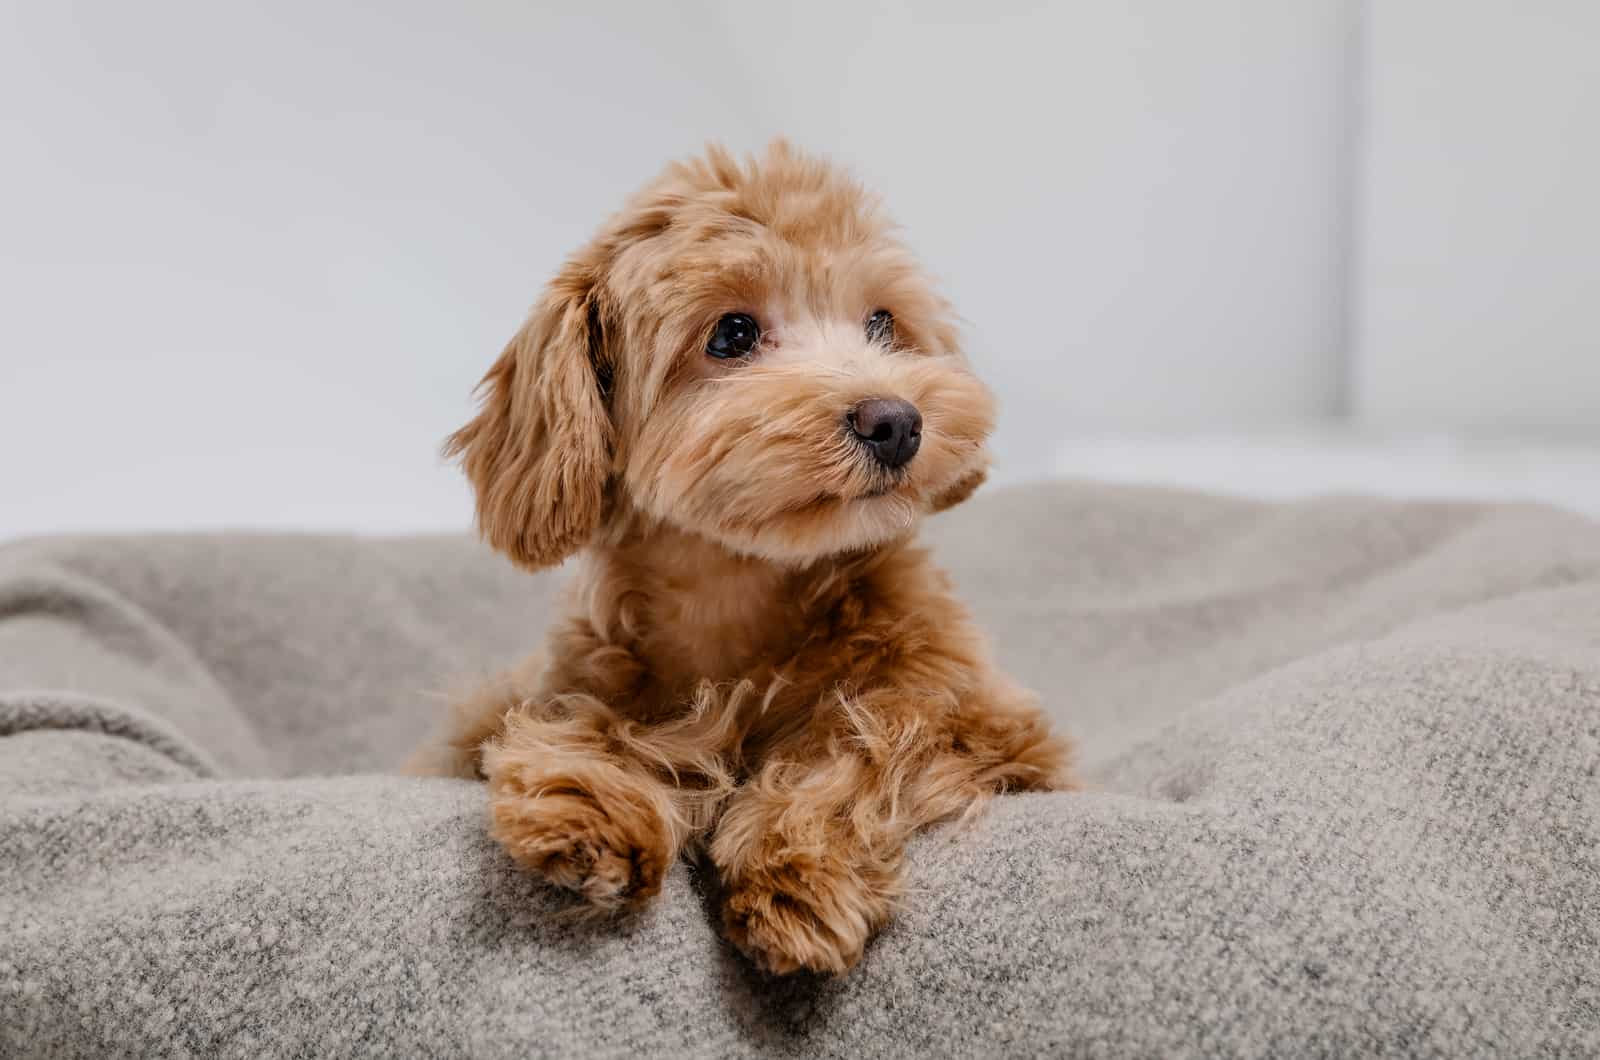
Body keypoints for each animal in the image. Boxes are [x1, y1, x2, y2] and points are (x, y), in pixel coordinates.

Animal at [409, 140, 1075, 979]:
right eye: (731, 334)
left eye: (882, 322)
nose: (895, 421)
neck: (739, 590)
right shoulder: (557, 682)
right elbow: (583, 722)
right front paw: (590, 799)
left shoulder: (998, 733)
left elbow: (875, 738)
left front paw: (797, 871)